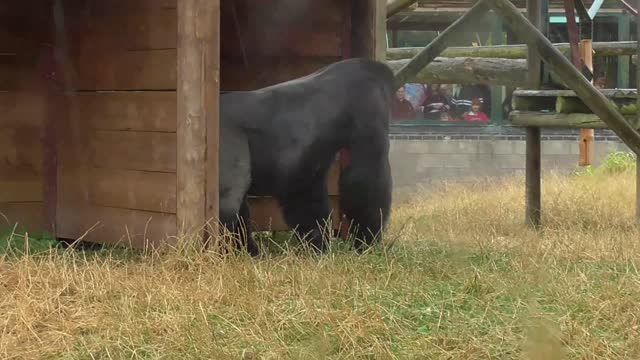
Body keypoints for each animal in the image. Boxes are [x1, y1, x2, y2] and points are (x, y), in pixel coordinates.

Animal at [218, 57, 392, 255]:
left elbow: (303, 193)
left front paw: (318, 246)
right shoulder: (368, 101)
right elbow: (367, 177)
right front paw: (366, 239)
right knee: (228, 202)